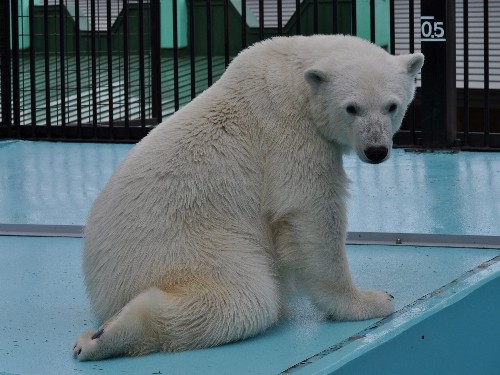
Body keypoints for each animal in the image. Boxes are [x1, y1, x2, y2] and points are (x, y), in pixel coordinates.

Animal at [72, 34, 424, 362]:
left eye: (392, 106)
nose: (376, 150)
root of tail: (99, 281)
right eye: (351, 108)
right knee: (245, 300)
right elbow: (310, 212)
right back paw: (102, 337)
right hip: (190, 247)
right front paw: (371, 300)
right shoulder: (290, 132)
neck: (292, 74)